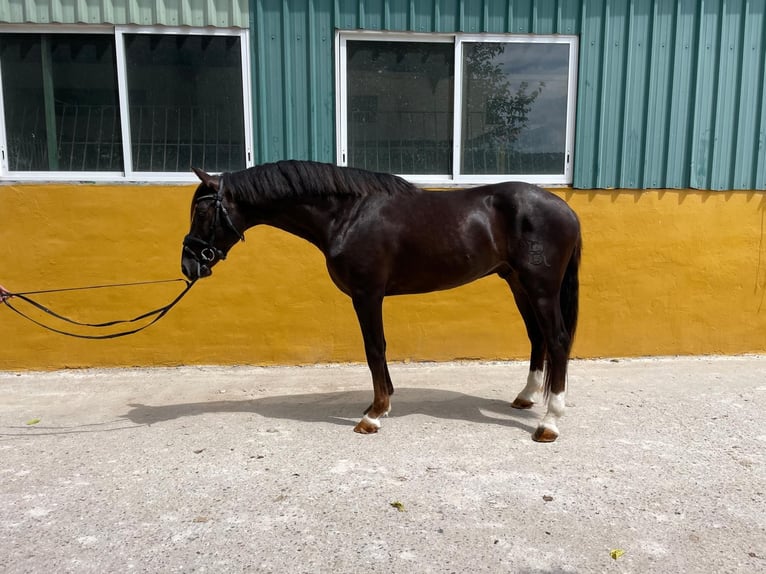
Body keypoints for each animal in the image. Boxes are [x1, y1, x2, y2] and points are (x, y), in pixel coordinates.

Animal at [181, 160, 581, 442]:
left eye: (201, 211)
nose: (189, 264)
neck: (347, 215)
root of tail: (567, 211)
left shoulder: (367, 294)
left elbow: (374, 347)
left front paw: (373, 415)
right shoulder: (369, 296)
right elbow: (377, 349)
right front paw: (383, 402)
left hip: (541, 287)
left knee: (557, 340)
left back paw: (550, 422)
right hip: (517, 283)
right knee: (537, 337)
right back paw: (526, 396)